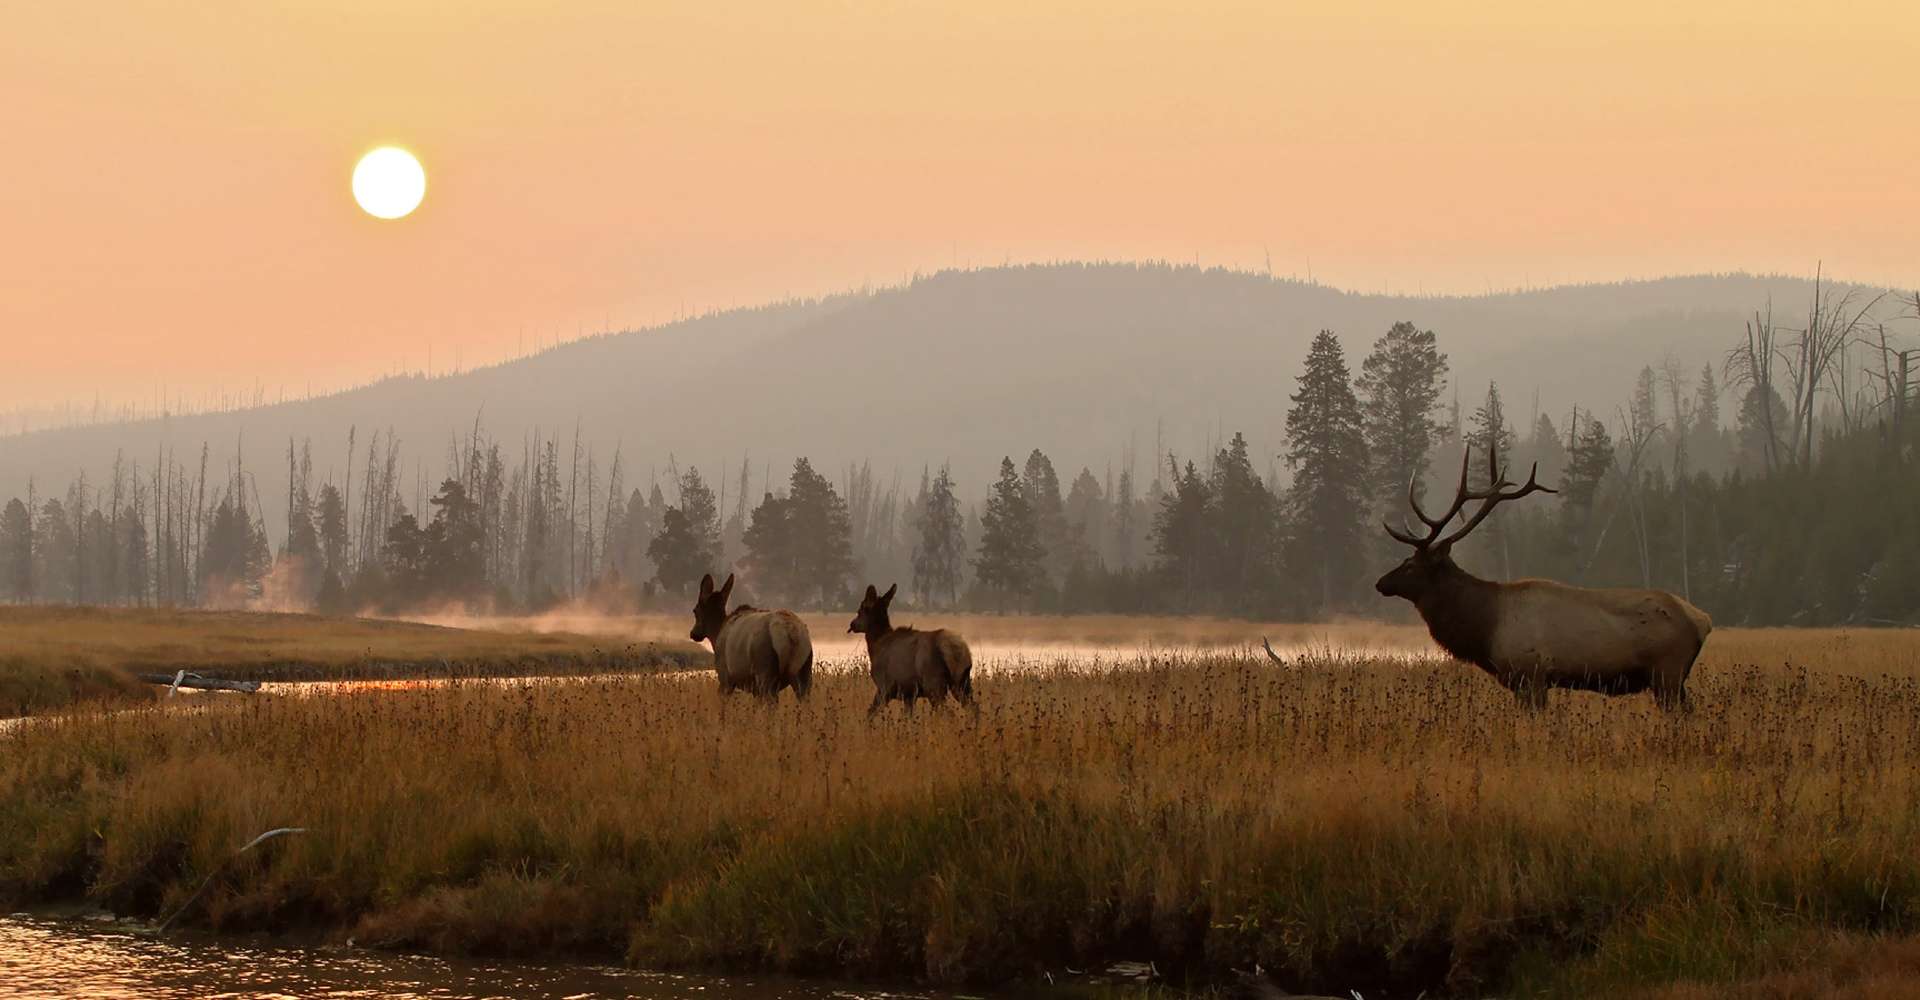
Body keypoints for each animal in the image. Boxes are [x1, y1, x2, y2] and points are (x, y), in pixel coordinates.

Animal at [687, 573, 814, 702]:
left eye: (695, 610)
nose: (693, 633)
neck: (716, 634)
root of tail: (790, 633)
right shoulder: (754, 690)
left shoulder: (724, 676)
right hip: (804, 671)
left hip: (764, 669)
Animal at [847, 583, 975, 717]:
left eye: (860, 611)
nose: (852, 624)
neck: (875, 645)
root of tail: (957, 651)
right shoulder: (909, 694)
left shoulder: (885, 687)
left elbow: (870, 713)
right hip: (962, 682)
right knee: (974, 707)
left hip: (934, 685)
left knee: (949, 712)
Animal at [1376, 441, 1712, 711]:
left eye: (1410, 564)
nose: (1380, 583)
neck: (1485, 625)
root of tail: (1703, 620)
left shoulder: (1531, 674)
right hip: (1674, 679)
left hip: (1667, 672)